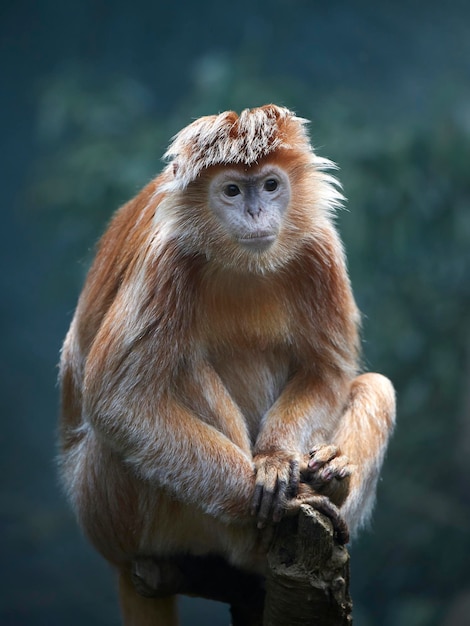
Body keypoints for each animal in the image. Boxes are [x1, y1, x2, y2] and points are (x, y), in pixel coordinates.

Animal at [59, 106, 396, 624]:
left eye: (271, 185)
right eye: (233, 191)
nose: (256, 213)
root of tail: (118, 559)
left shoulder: (319, 248)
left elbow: (327, 371)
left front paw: (277, 459)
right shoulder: (166, 260)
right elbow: (117, 403)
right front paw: (282, 496)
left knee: (377, 386)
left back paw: (333, 482)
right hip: (113, 508)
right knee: (178, 368)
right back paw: (262, 536)